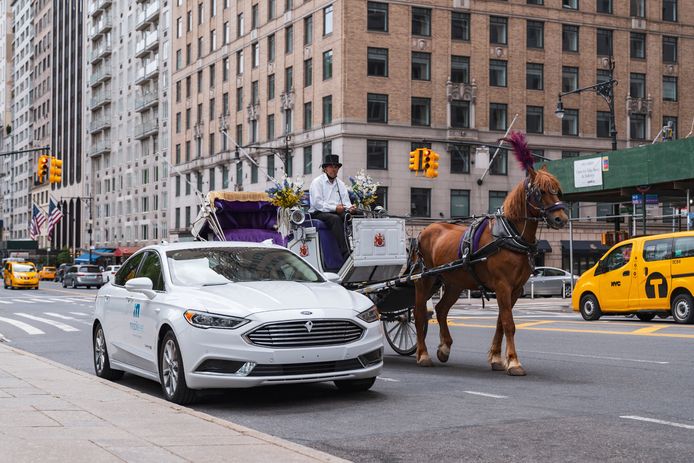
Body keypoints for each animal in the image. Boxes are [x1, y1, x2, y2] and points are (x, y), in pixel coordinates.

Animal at [414, 131, 572, 376]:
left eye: (558, 190)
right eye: (540, 191)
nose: (561, 219)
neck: (511, 235)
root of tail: (423, 230)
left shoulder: (515, 289)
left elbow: (500, 322)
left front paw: (497, 358)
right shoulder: (502, 285)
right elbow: (509, 323)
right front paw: (514, 362)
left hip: (454, 282)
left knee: (440, 309)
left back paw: (444, 348)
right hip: (426, 279)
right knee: (420, 313)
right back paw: (423, 355)